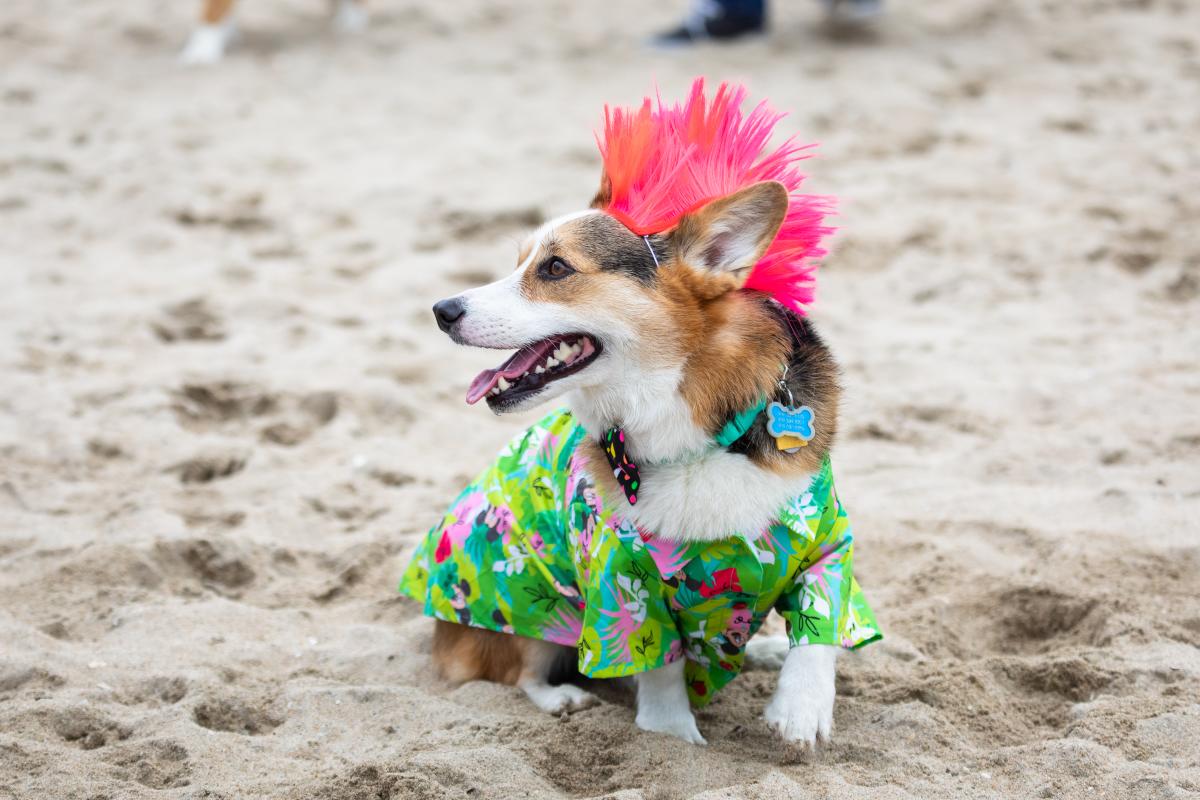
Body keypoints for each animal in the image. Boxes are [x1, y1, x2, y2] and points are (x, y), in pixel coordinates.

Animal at [403, 81, 883, 743]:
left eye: (555, 268)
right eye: (521, 261)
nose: (442, 310)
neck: (691, 423)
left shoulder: (826, 543)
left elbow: (820, 628)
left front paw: (801, 711)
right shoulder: (622, 580)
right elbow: (658, 666)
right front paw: (673, 738)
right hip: (525, 591)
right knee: (523, 669)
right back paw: (561, 697)